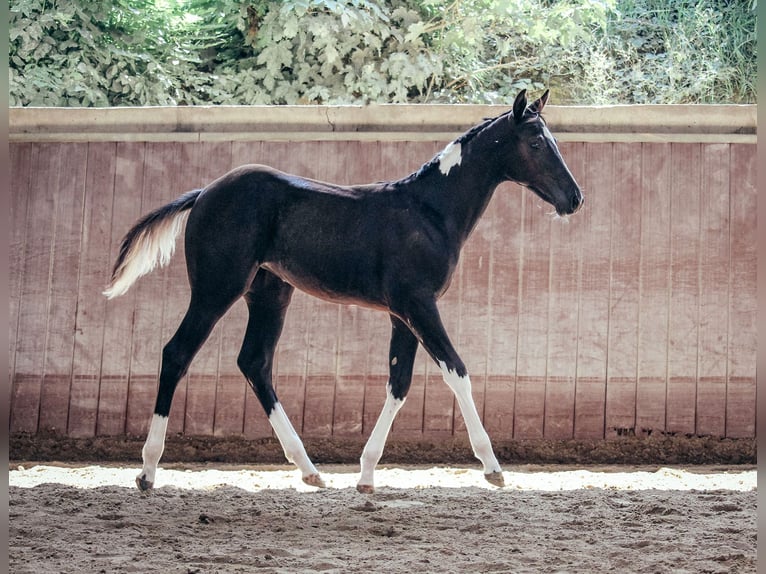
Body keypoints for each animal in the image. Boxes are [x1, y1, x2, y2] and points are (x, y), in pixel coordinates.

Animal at [104, 89, 583, 494]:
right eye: (536, 143)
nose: (575, 198)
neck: (429, 210)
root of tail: (205, 192)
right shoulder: (419, 305)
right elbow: (457, 372)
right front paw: (492, 467)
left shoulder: (403, 314)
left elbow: (399, 383)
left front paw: (367, 475)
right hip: (215, 288)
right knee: (177, 353)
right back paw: (147, 471)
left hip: (270, 294)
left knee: (255, 363)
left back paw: (310, 470)